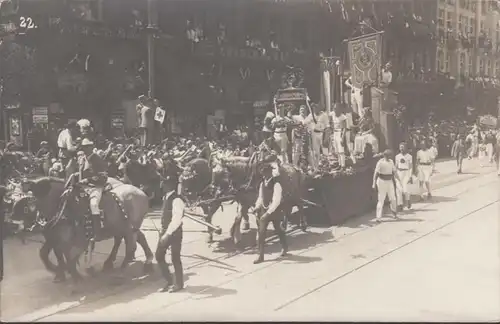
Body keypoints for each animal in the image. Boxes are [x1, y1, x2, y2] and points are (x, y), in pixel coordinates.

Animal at [20, 175, 154, 284]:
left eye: (27, 201)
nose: (21, 227)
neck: (63, 206)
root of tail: (140, 192)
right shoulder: (54, 238)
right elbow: (48, 254)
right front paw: (60, 272)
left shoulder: (77, 241)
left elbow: (69, 258)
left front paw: (74, 275)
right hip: (125, 227)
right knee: (136, 238)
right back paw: (144, 262)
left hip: (128, 228)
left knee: (131, 246)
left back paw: (121, 271)